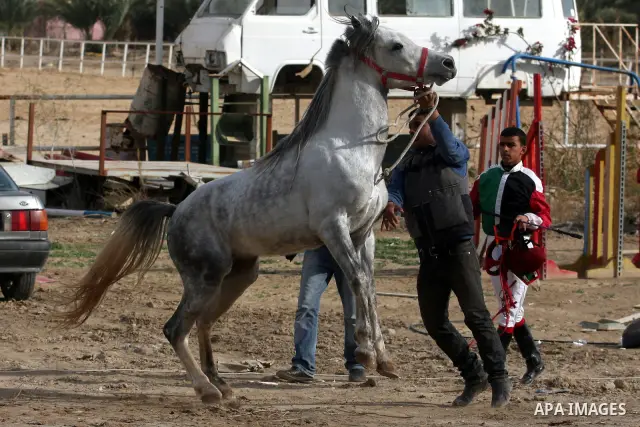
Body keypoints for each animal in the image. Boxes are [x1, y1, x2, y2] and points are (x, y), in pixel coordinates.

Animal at [59, 13, 457, 404]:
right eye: (396, 45)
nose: (448, 63)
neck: (350, 148)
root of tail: (176, 211)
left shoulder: (364, 233)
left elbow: (369, 287)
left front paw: (384, 361)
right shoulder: (333, 228)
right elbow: (358, 280)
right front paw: (365, 354)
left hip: (239, 275)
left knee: (203, 323)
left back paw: (223, 385)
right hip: (205, 278)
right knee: (175, 329)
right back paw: (207, 391)